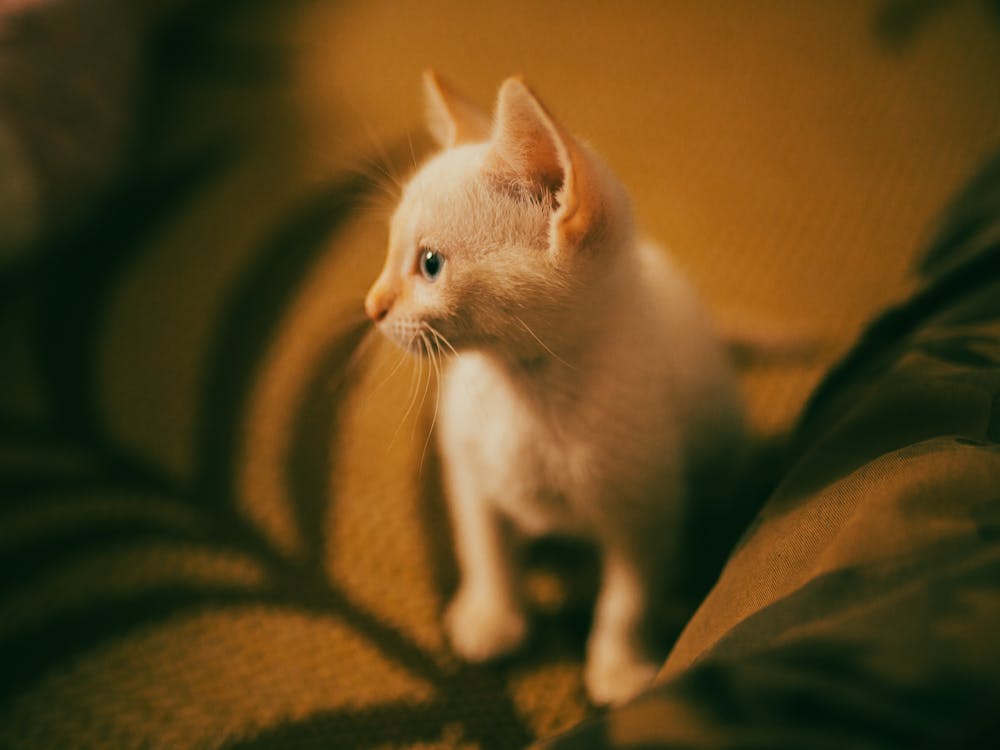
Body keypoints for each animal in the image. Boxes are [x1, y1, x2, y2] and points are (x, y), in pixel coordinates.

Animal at [364, 73, 748, 708]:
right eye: (390, 252)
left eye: (430, 264)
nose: (371, 307)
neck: (524, 389)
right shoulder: (467, 470)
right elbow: (484, 546)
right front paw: (492, 617)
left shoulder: (647, 506)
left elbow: (628, 600)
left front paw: (619, 669)